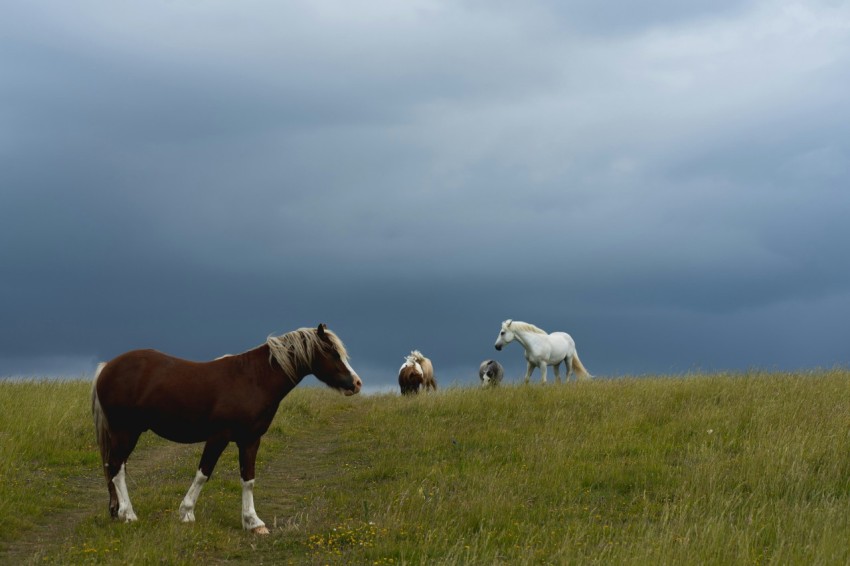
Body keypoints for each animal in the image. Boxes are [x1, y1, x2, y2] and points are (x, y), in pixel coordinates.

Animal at [91, 324, 361, 535]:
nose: (356, 383)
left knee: (115, 468)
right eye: (332, 353)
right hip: (126, 432)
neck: (254, 379)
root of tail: (107, 366)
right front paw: (186, 513)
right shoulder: (218, 437)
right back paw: (129, 514)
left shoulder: (251, 440)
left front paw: (253, 522)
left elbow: (248, 479)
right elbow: (203, 473)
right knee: (116, 468)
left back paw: (120, 511)